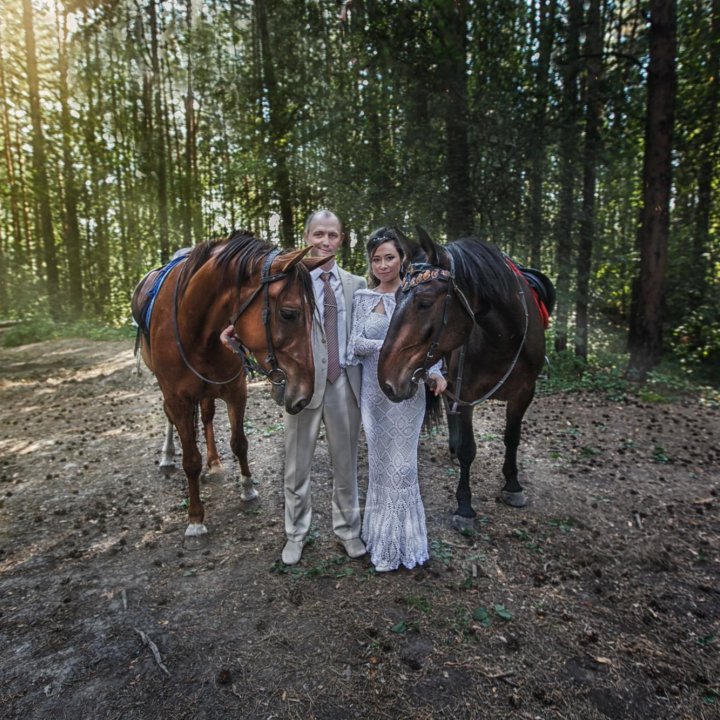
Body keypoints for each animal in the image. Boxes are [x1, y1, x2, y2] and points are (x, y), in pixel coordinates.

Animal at [131, 231, 322, 540]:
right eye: (289, 313)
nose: (304, 394)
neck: (195, 326)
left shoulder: (235, 391)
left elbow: (239, 442)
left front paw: (247, 488)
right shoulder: (177, 399)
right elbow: (190, 460)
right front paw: (195, 518)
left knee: (207, 417)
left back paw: (215, 463)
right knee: (169, 417)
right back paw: (168, 455)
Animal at [376, 229, 552, 528]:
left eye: (424, 303)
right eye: (397, 294)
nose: (386, 378)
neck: (504, 336)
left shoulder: (525, 393)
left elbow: (512, 437)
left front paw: (512, 485)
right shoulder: (465, 393)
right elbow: (469, 448)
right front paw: (465, 507)